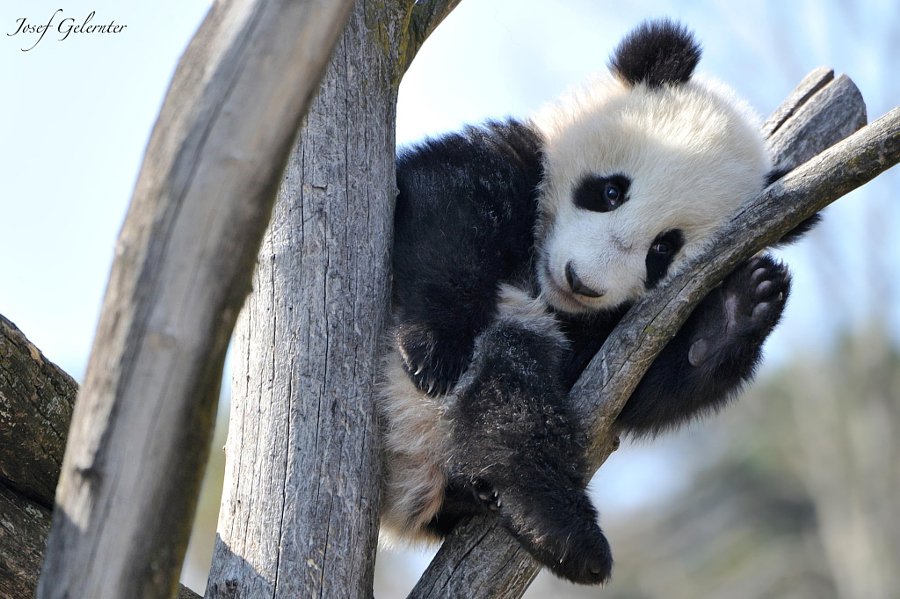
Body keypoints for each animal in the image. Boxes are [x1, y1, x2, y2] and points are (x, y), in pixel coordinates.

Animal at [376, 17, 804, 584]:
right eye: (610, 192)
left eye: (663, 249)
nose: (582, 282)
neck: (540, 287)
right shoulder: (520, 158)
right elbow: (445, 208)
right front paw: (435, 349)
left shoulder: (606, 332)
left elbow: (639, 391)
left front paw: (743, 306)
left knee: (510, 403)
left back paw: (556, 529)